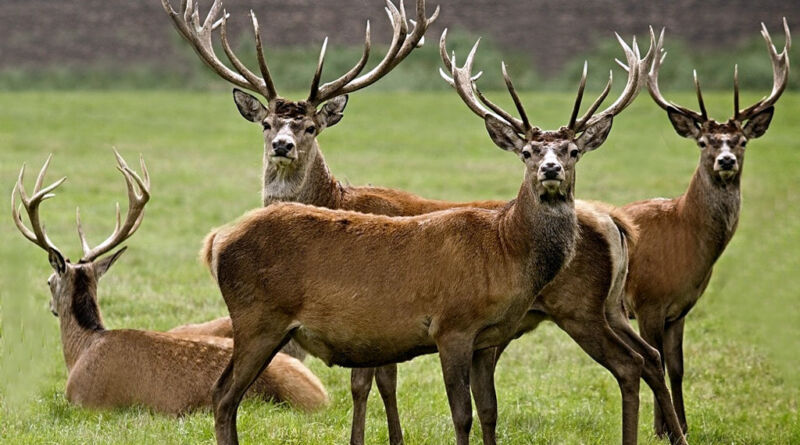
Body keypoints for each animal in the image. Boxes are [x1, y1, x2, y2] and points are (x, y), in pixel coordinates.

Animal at [624, 20, 788, 438]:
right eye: (703, 141)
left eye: (742, 140)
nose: (726, 160)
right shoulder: (648, 301)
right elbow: (655, 363)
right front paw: (661, 429)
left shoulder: (681, 308)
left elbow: (678, 367)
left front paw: (681, 424)